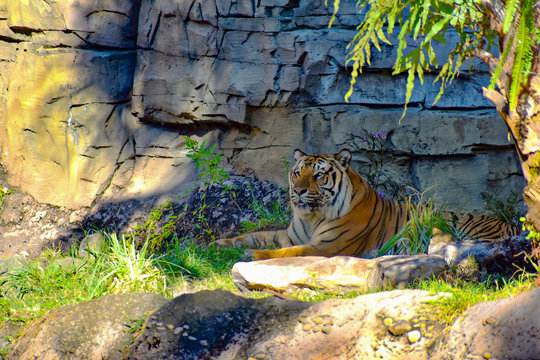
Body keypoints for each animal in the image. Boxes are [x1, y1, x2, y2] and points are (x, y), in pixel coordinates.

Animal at [214, 148, 520, 260]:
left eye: (319, 175)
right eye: (297, 172)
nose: (298, 191)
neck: (311, 217)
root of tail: (513, 226)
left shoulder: (325, 247)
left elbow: (288, 253)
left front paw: (251, 256)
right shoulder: (288, 235)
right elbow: (254, 236)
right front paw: (219, 244)